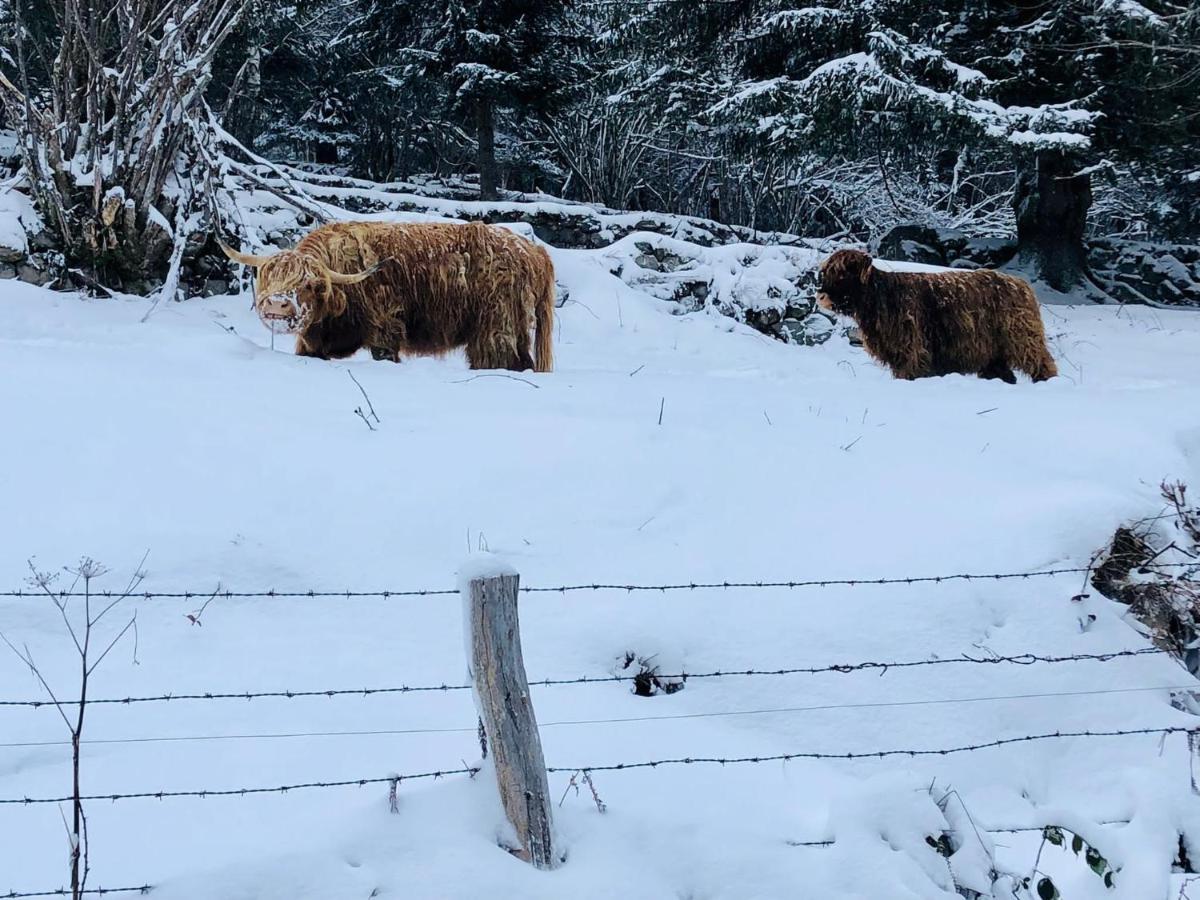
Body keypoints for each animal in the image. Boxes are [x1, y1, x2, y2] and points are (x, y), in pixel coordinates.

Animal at [223, 220, 554, 372]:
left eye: (309, 284)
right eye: (270, 277)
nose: (278, 306)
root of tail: (534, 251)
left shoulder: (386, 327)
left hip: (495, 327)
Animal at [816, 250, 1060, 384]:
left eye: (841, 273)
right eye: (826, 272)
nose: (820, 296)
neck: (880, 297)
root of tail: (1020, 283)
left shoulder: (911, 351)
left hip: (1022, 339)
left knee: (1042, 363)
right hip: (993, 353)